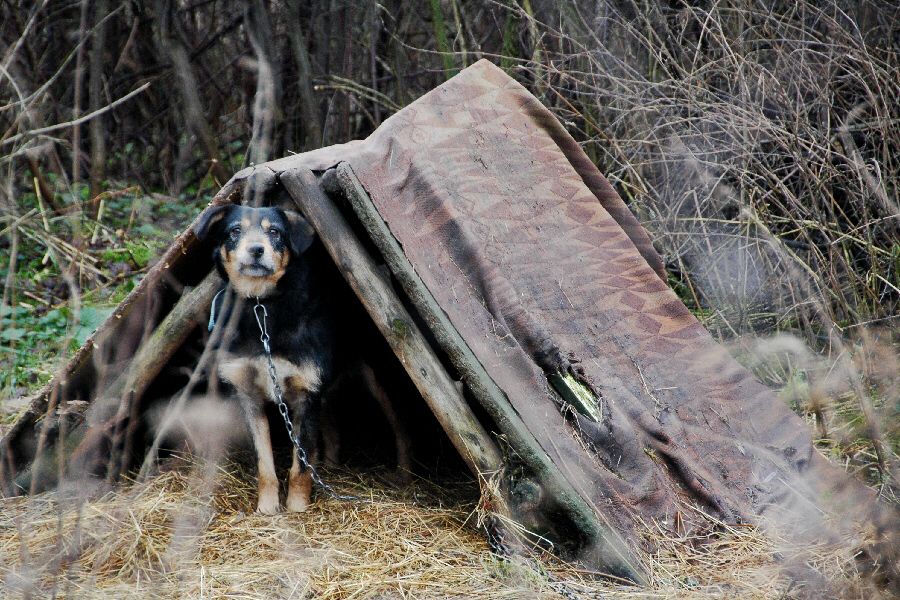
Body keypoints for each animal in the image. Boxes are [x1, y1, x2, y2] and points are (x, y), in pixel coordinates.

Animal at [195, 204, 414, 512]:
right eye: (235, 230)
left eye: (275, 232)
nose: (256, 249)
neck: (261, 308)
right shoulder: (249, 395)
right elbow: (265, 464)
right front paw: (267, 508)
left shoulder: (304, 395)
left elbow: (299, 467)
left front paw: (297, 509)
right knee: (331, 428)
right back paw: (329, 466)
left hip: (380, 382)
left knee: (401, 429)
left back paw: (404, 476)